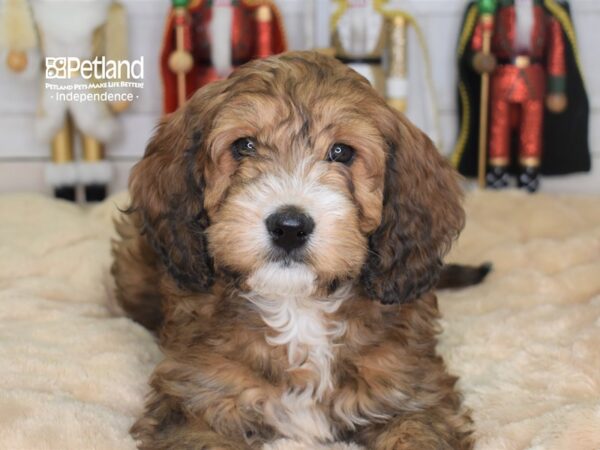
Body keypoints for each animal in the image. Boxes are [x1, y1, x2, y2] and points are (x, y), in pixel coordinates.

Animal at [113, 51, 474, 448]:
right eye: (244, 146)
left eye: (341, 152)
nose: (289, 227)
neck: (298, 308)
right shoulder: (193, 399)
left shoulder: (414, 395)